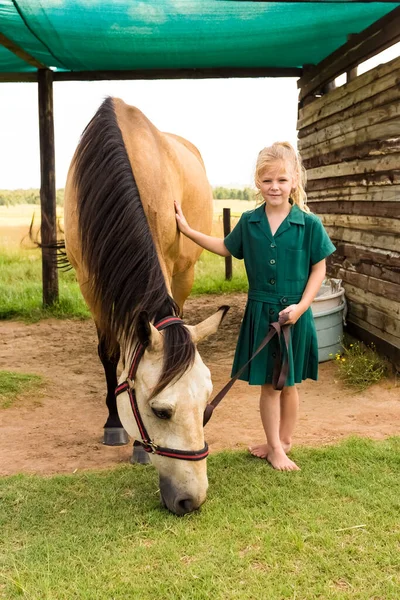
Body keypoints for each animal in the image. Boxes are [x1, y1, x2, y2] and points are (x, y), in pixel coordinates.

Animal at [63, 98, 227, 516]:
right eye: (160, 411)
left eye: (206, 403)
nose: (191, 500)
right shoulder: (90, 285)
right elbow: (110, 356)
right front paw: (113, 424)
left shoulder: (167, 264)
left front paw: (138, 445)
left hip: (185, 272)